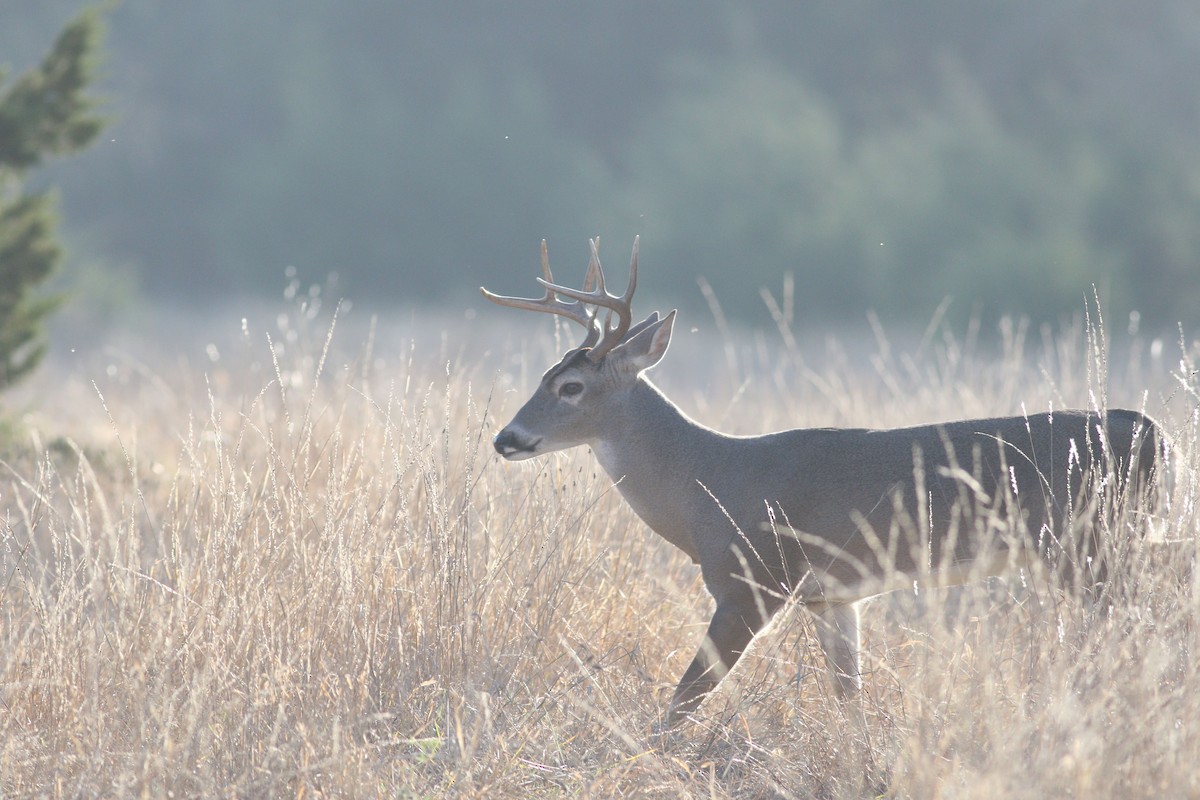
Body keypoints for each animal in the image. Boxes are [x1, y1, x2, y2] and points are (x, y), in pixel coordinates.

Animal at [481, 237, 1167, 726]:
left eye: (571, 387)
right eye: (544, 375)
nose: (505, 438)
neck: (707, 482)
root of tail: (1151, 430)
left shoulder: (753, 581)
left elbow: (680, 705)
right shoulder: (834, 597)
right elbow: (849, 700)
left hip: (1089, 545)